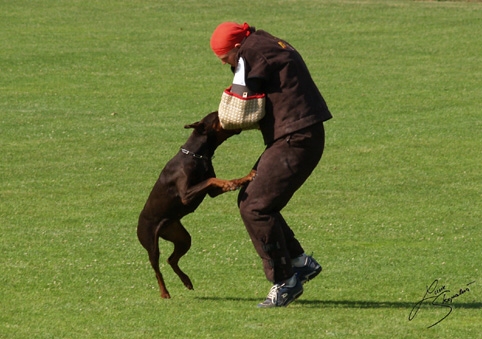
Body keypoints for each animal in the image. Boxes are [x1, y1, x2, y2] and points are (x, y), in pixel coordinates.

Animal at [137, 112, 256, 300]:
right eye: (217, 116)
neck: (195, 155)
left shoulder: (211, 192)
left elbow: (216, 181)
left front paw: (244, 178)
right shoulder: (186, 194)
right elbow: (211, 179)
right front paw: (229, 183)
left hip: (181, 237)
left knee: (171, 259)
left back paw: (186, 281)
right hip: (150, 242)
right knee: (157, 269)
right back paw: (164, 292)